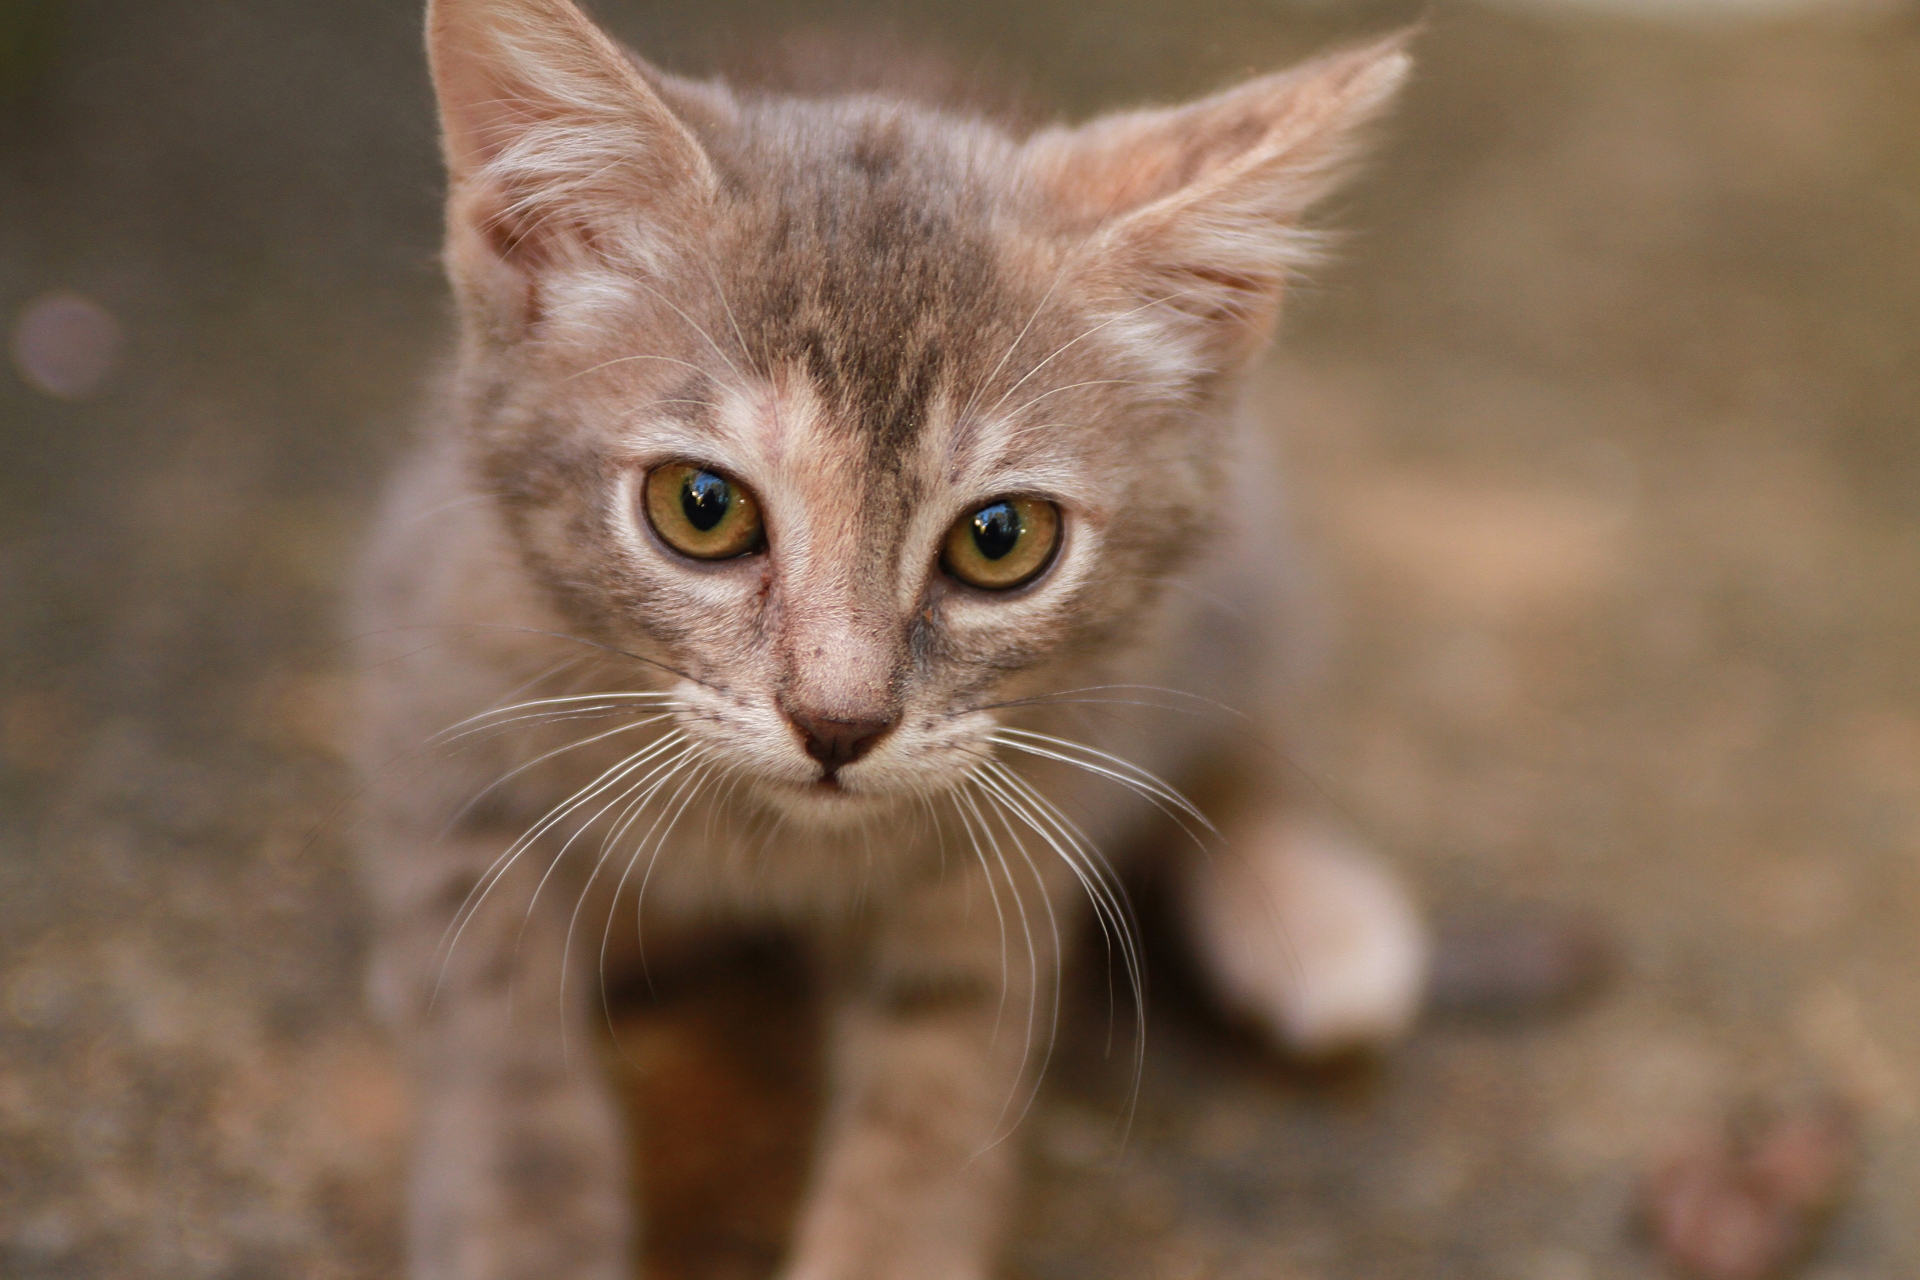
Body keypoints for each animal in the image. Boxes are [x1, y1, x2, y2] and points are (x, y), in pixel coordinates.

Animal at [349, 5, 1428, 1274]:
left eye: (1002, 538)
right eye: (700, 507)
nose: (838, 721)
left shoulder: (1008, 835)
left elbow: (932, 1091)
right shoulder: (433, 679)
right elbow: (497, 1031)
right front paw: (519, 1220)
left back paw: (1304, 904)